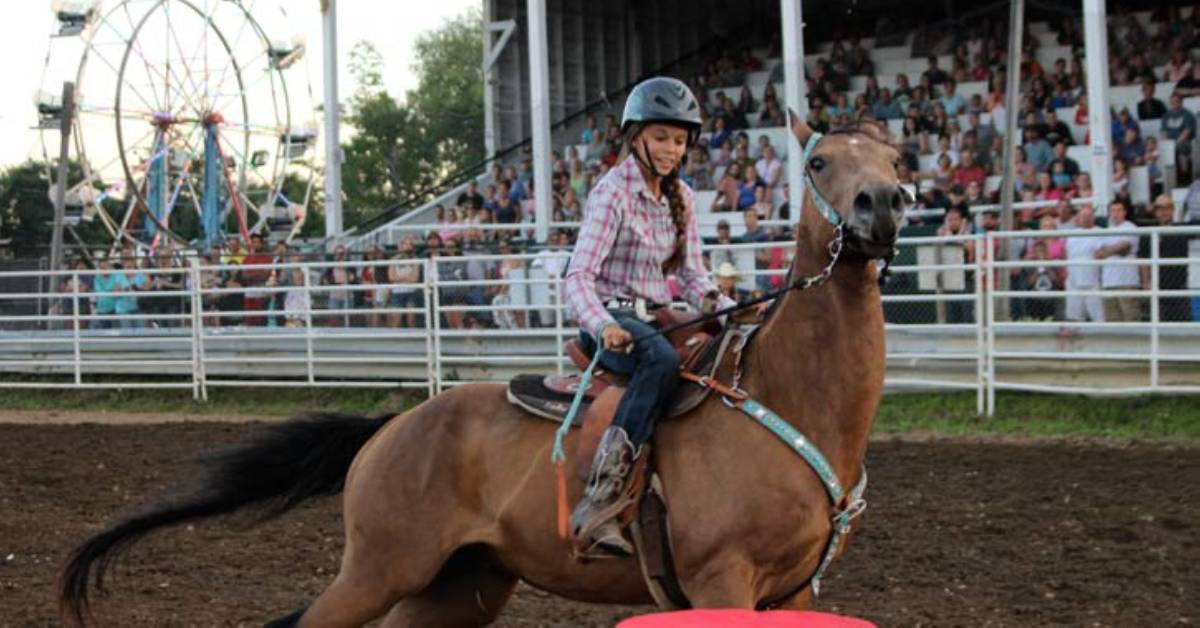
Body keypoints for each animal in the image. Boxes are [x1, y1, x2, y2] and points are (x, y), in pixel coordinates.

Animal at [56, 114, 902, 628]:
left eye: (896, 158)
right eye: (819, 160)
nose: (884, 204)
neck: (786, 392)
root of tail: (394, 427)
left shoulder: (795, 589)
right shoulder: (720, 580)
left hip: (460, 584)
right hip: (378, 570)